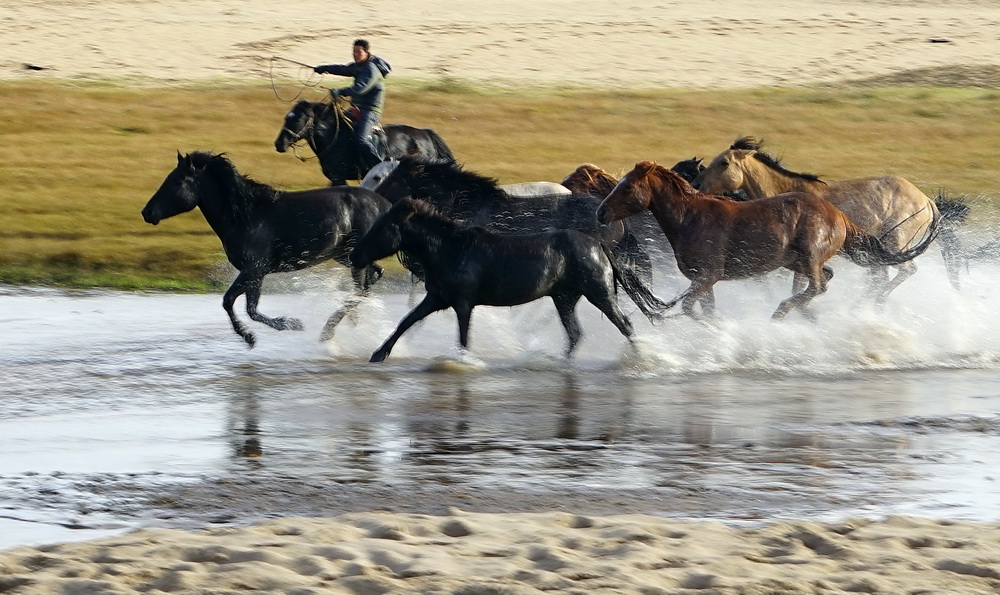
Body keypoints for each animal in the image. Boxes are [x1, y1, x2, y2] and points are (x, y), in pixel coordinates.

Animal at [141, 151, 390, 346]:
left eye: (177, 182)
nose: (147, 212)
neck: (245, 216)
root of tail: (384, 204)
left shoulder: (254, 268)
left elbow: (230, 301)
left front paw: (257, 334)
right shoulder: (256, 273)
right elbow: (250, 309)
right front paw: (288, 324)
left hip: (354, 259)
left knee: (360, 289)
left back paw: (327, 332)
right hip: (347, 256)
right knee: (371, 279)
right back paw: (352, 321)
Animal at [278, 99, 458, 186]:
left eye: (298, 119)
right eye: (286, 117)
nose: (279, 144)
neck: (335, 139)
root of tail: (426, 134)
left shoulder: (338, 178)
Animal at [352, 200, 664, 360]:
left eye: (383, 226)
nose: (356, 255)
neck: (450, 249)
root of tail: (598, 245)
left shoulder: (463, 303)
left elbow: (463, 337)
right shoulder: (437, 298)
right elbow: (406, 321)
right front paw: (379, 353)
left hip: (599, 293)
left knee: (625, 325)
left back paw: (643, 360)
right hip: (564, 298)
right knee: (575, 334)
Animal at [596, 161, 940, 322]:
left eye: (628, 187)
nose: (601, 212)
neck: (690, 218)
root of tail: (839, 216)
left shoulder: (708, 276)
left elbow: (691, 308)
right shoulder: (703, 280)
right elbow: (704, 309)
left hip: (809, 256)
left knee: (818, 285)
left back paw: (781, 313)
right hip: (797, 261)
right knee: (824, 281)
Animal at [692, 138, 956, 300]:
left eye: (724, 162)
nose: (696, 184)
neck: (788, 193)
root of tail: (928, 201)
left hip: (896, 242)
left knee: (905, 270)